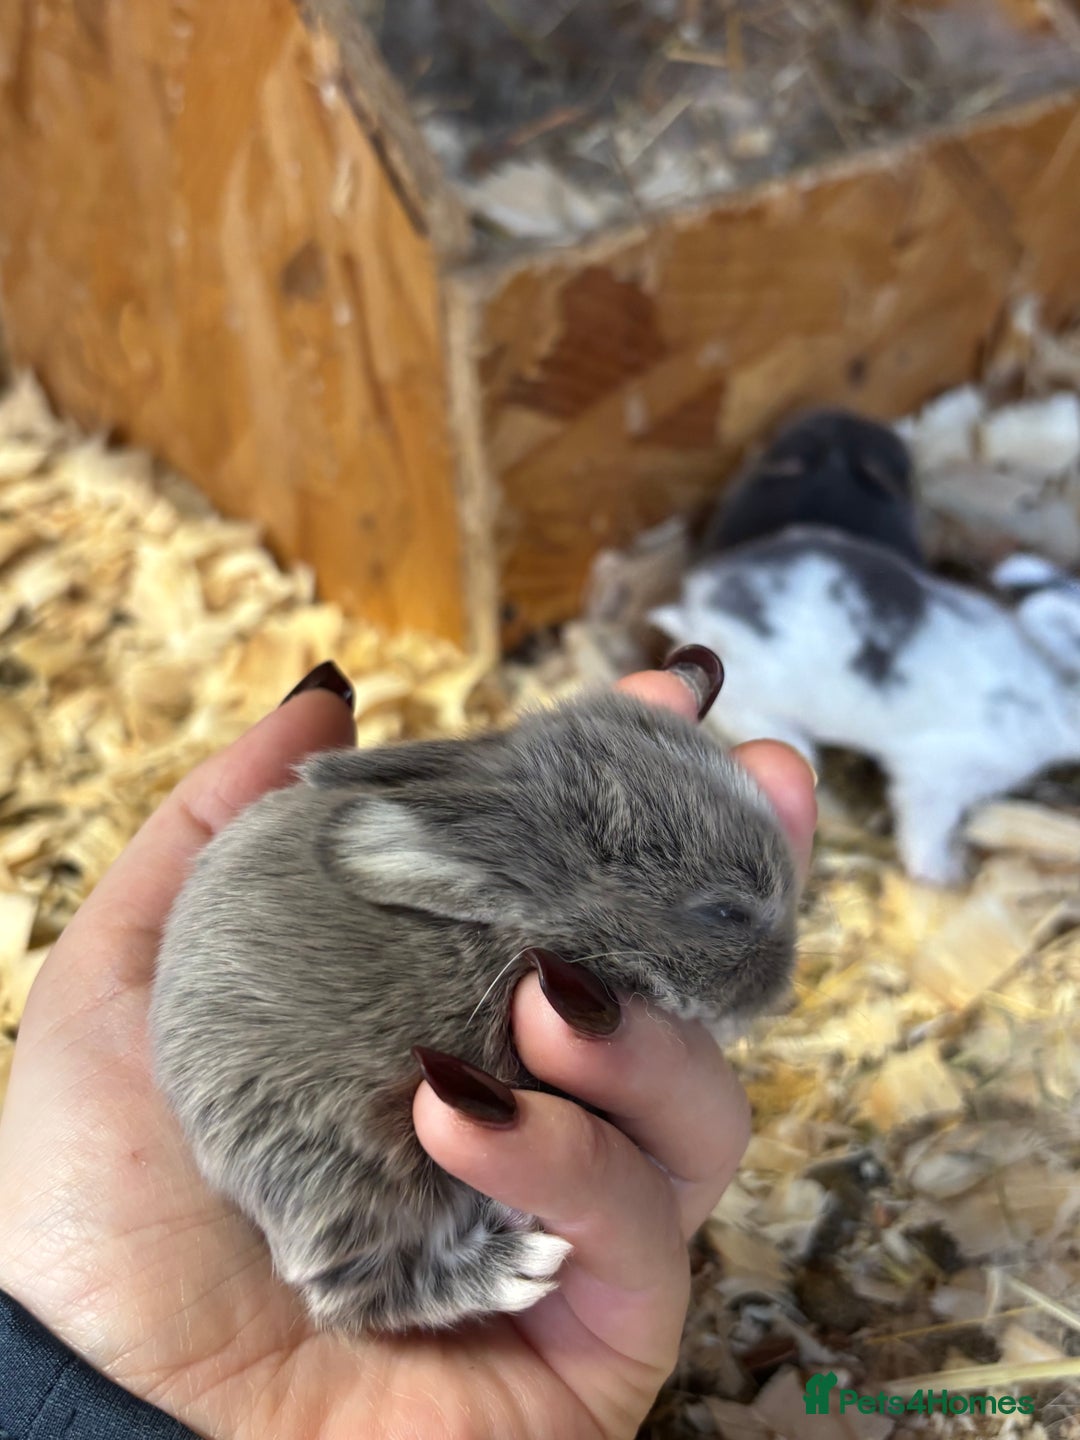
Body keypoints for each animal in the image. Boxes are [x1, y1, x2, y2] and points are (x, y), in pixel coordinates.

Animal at [150, 690, 798, 1335]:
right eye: (725, 913)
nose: (784, 985)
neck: (508, 922)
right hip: (346, 1181)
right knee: (359, 1296)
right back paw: (515, 1266)